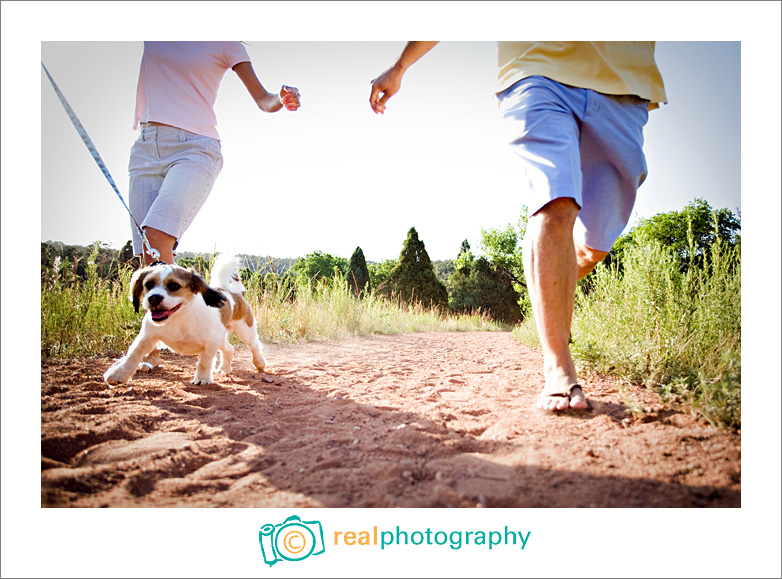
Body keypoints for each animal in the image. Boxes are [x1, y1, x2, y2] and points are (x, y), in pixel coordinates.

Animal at [103, 256, 266, 388]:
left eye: (174, 286)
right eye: (148, 284)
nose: (153, 298)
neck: (179, 317)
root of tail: (228, 290)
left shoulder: (211, 342)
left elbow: (204, 362)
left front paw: (202, 378)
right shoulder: (147, 337)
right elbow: (133, 355)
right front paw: (118, 374)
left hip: (245, 329)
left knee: (254, 345)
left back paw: (259, 363)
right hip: (221, 337)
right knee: (229, 349)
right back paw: (224, 368)